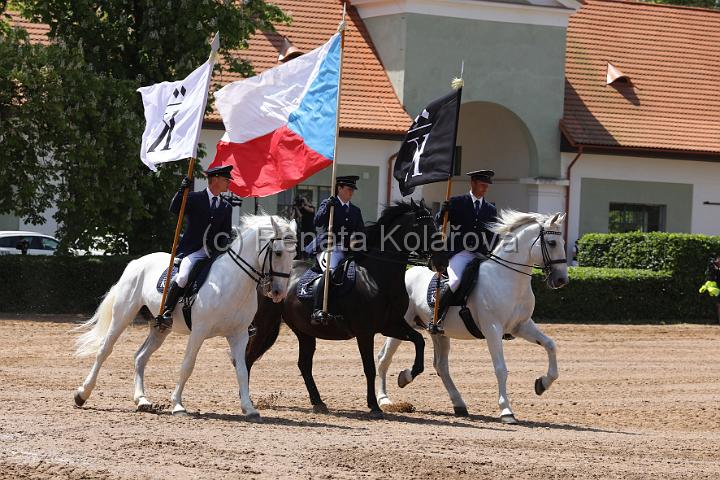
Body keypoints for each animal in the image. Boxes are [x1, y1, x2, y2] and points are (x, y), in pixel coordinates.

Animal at [72, 215, 296, 420]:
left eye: (294, 256)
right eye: (278, 253)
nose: (278, 293)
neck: (232, 280)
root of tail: (137, 262)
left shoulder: (239, 335)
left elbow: (242, 369)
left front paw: (249, 409)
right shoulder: (199, 331)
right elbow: (187, 365)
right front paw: (178, 405)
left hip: (160, 327)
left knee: (140, 357)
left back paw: (142, 400)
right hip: (123, 315)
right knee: (104, 350)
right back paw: (82, 394)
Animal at [246, 199, 438, 416]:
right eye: (424, 226)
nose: (439, 260)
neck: (376, 277)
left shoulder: (391, 324)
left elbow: (419, 341)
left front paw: (405, 377)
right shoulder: (365, 331)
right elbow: (369, 367)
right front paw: (373, 405)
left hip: (304, 331)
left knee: (304, 364)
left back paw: (318, 402)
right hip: (264, 323)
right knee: (249, 357)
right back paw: (249, 401)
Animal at [376, 210, 568, 424]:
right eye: (552, 242)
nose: (561, 279)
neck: (507, 279)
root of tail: (406, 274)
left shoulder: (522, 326)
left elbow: (550, 345)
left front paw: (542, 383)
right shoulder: (492, 329)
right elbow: (501, 368)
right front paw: (506, 411)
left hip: (439, 332)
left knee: (441, 365)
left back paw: (458, 403)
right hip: (404, 322)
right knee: (384, 357)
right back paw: (386, 397)